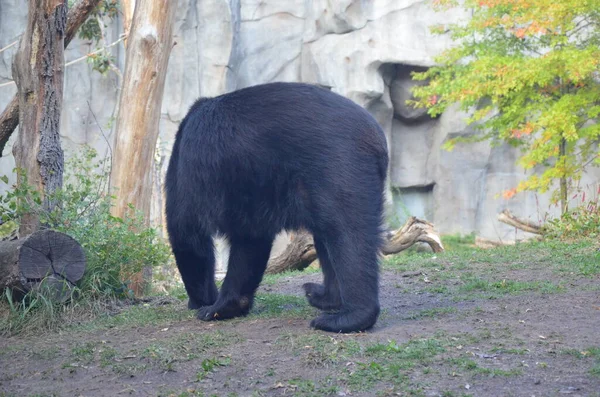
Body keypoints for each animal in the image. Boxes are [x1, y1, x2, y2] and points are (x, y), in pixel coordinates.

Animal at [165, 81, 390, 332]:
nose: (194, 303)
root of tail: (377, 139)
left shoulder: (196, 173)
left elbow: (188, 233)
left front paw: (208, 306)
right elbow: (251, 239)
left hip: (340, 168)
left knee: (348, 236)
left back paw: (345, 318)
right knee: (328, 234)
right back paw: (320, 295)